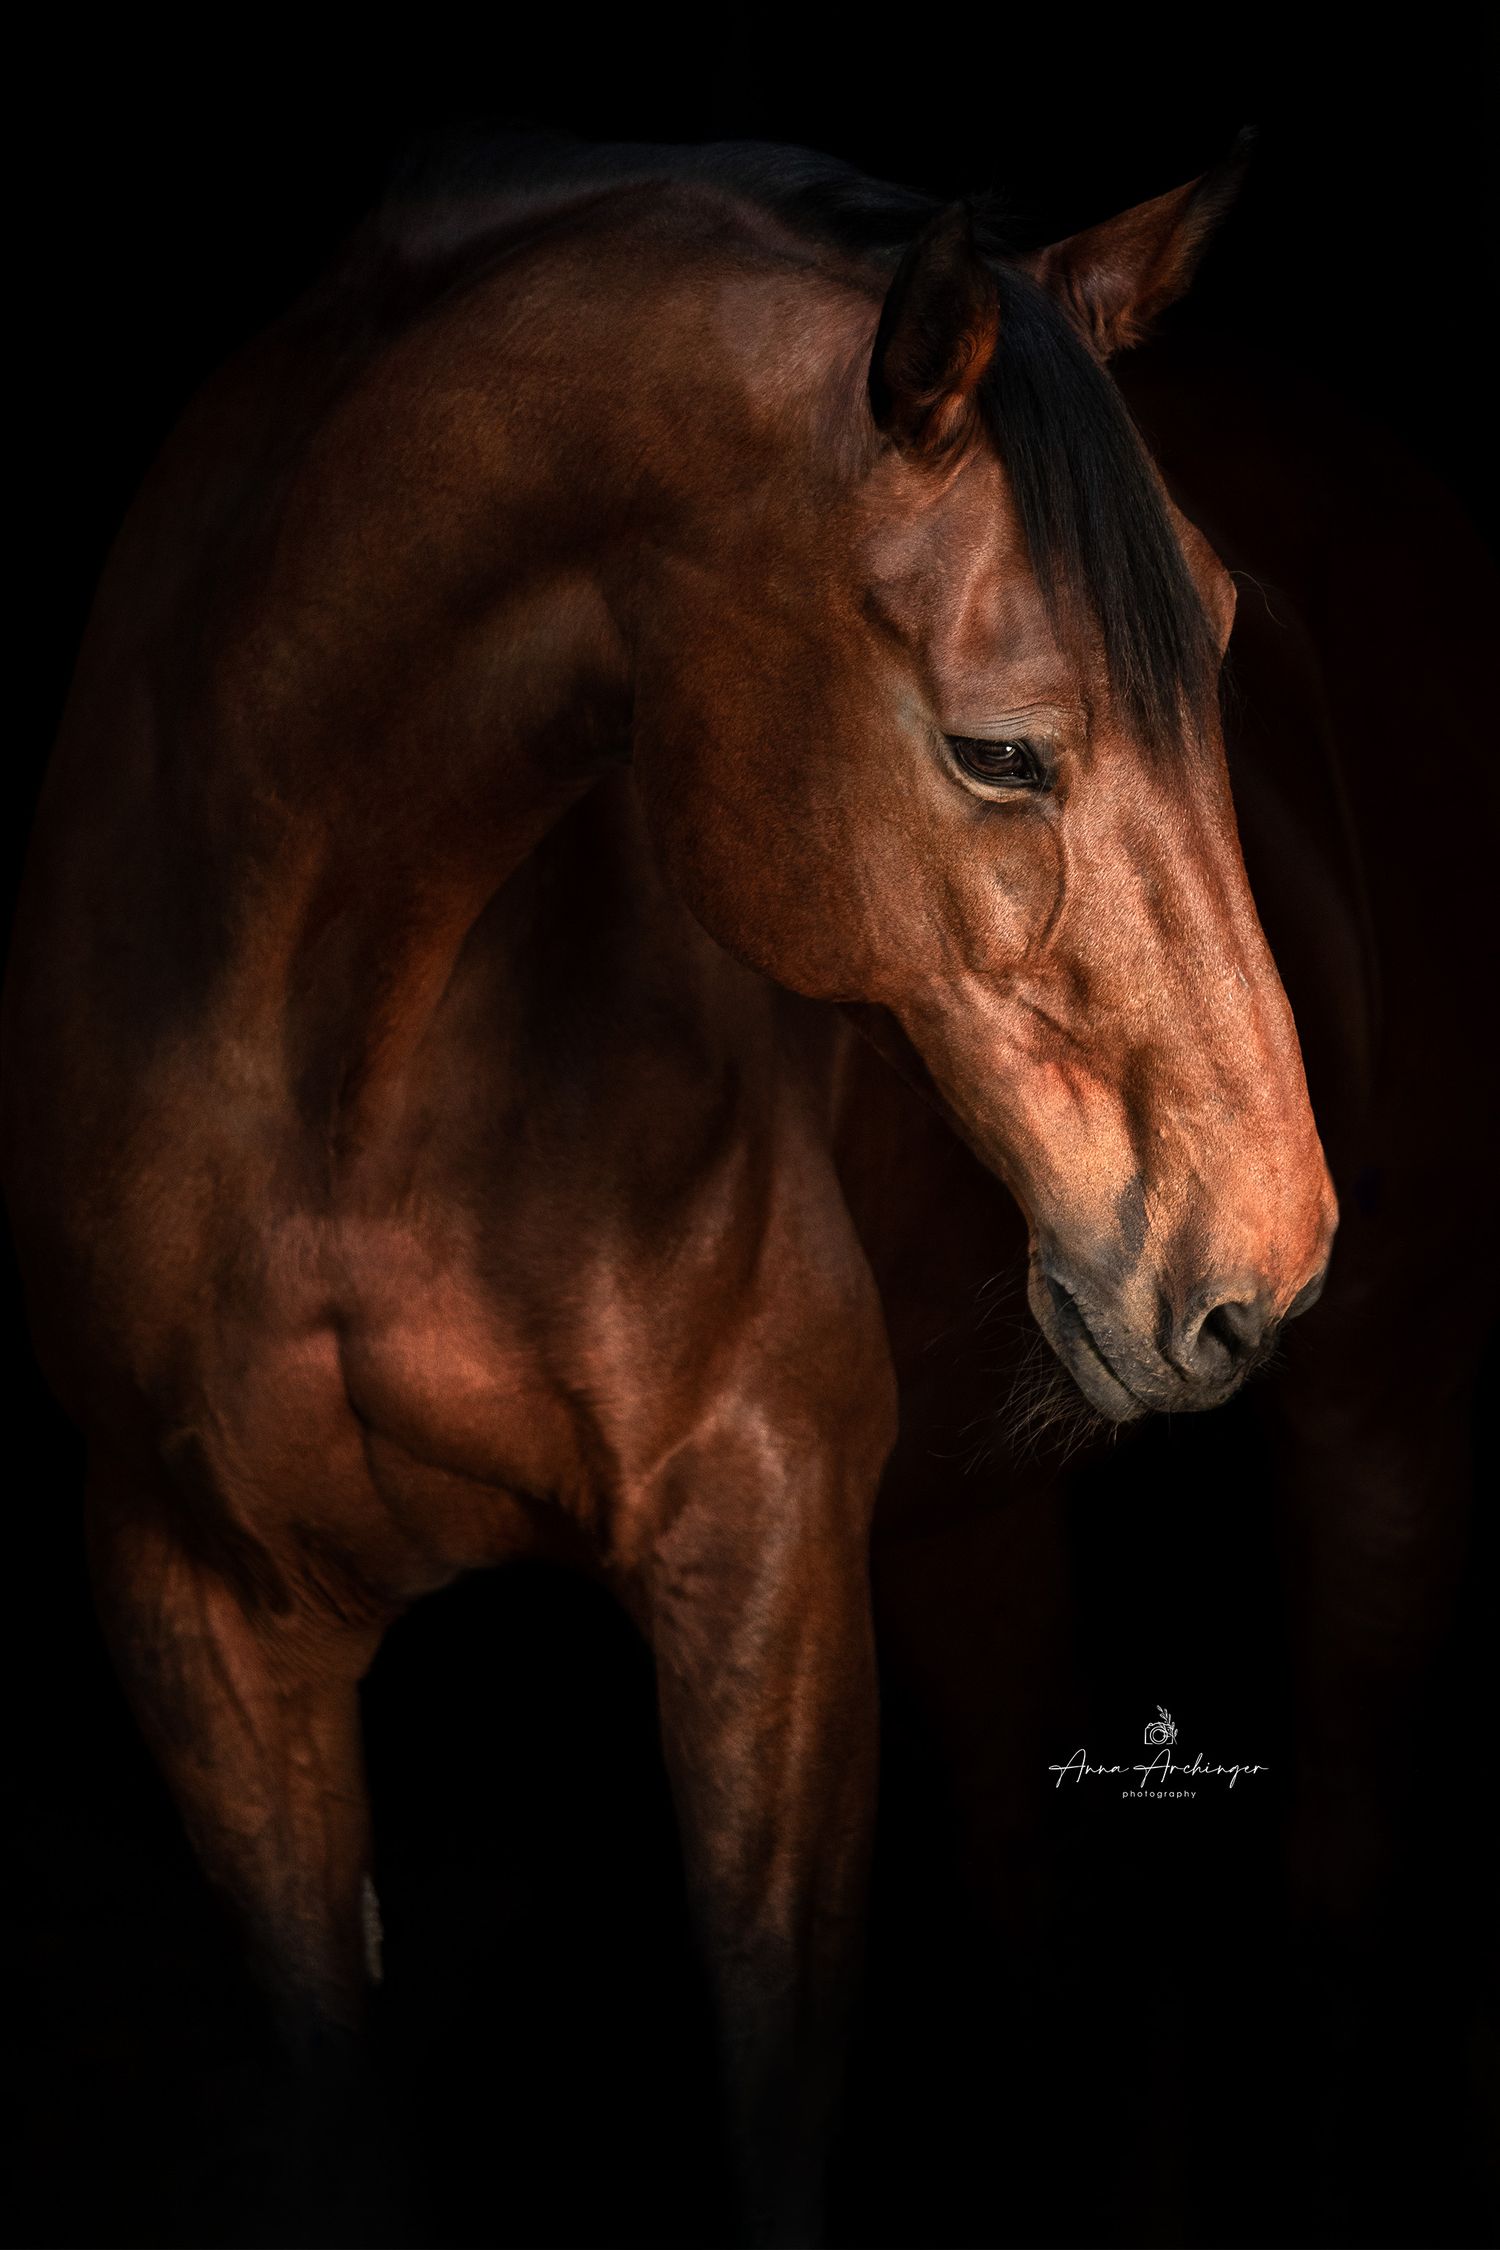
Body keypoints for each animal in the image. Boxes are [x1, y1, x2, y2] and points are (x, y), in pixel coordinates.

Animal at [3, 130, 1345, 2243]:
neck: (334, 1062)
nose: (1265, 1261)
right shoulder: (196, 1615)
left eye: (1220, 648)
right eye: (996, 751)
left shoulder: (765, 1575)